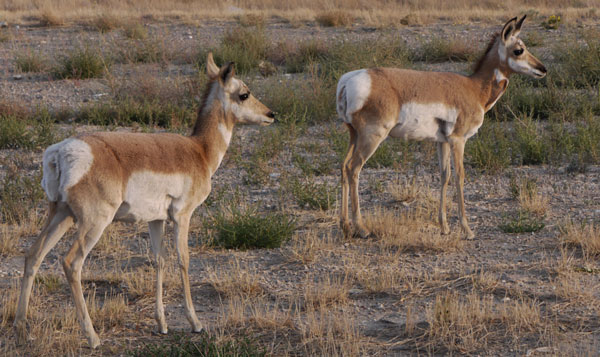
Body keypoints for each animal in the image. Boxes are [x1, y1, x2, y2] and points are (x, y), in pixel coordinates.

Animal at [13, 53, 276, 348]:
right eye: (244, 93)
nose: (271, 114)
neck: (199, 150)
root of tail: (60, 152)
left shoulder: (156, 221)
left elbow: (159, 260)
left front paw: (161, 324)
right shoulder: (182, 216)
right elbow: (183, 259)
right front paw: (195, 323)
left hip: (61, 214)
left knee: (33, 255)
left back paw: (21, 330)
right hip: (93, 223)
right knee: (71, 263)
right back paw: (92, 337)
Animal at [340, 16, 548, 239]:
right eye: (519, 50)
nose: (543, 69)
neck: (473, 88)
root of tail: (348, 80)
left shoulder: (442, 142)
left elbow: (444, 176)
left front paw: (445, 226)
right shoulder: (458, 140)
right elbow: (459, 176)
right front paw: (467, 229)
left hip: (354, 135)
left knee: (343, 167)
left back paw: (345, 226)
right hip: (372, 137)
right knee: (354, 168)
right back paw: (361, 228)